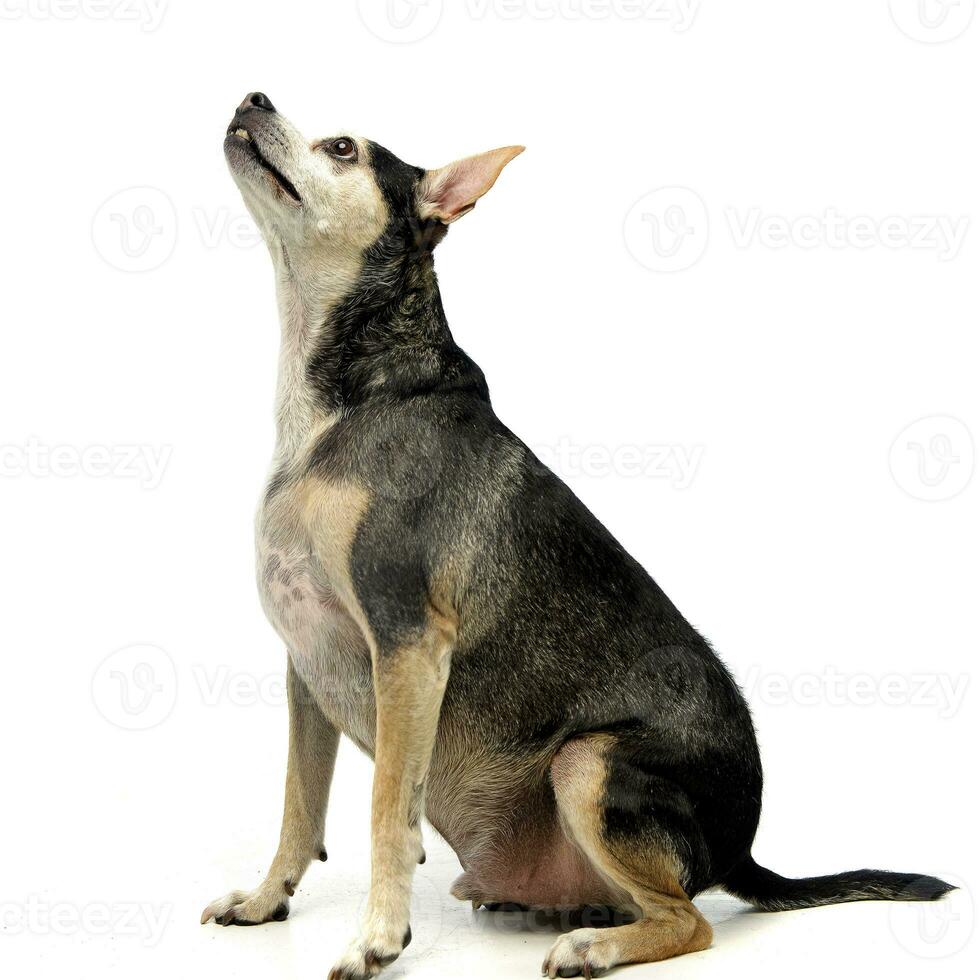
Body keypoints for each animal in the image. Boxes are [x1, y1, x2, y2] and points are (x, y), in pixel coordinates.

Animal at [201, 94, 956, 980]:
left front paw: (377, 938)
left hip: (587, 762)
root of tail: (741, 849)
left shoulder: (408, 644)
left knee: (689, 921)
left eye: (343, 149)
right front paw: (265, 901)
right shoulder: (306, 662)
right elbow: (299, 804)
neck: (342, 399)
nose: (252, 98)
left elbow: (389, 811)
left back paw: (592, 946)